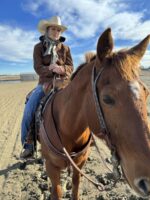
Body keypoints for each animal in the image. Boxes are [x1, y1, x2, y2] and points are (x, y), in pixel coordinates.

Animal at [39, 28, 150, 200]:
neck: (67, 130)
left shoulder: (80, 165)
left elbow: (76, 187)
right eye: (107, 99)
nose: (147, 181)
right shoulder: (51, 168)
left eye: (147, 93)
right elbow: (56, 192)